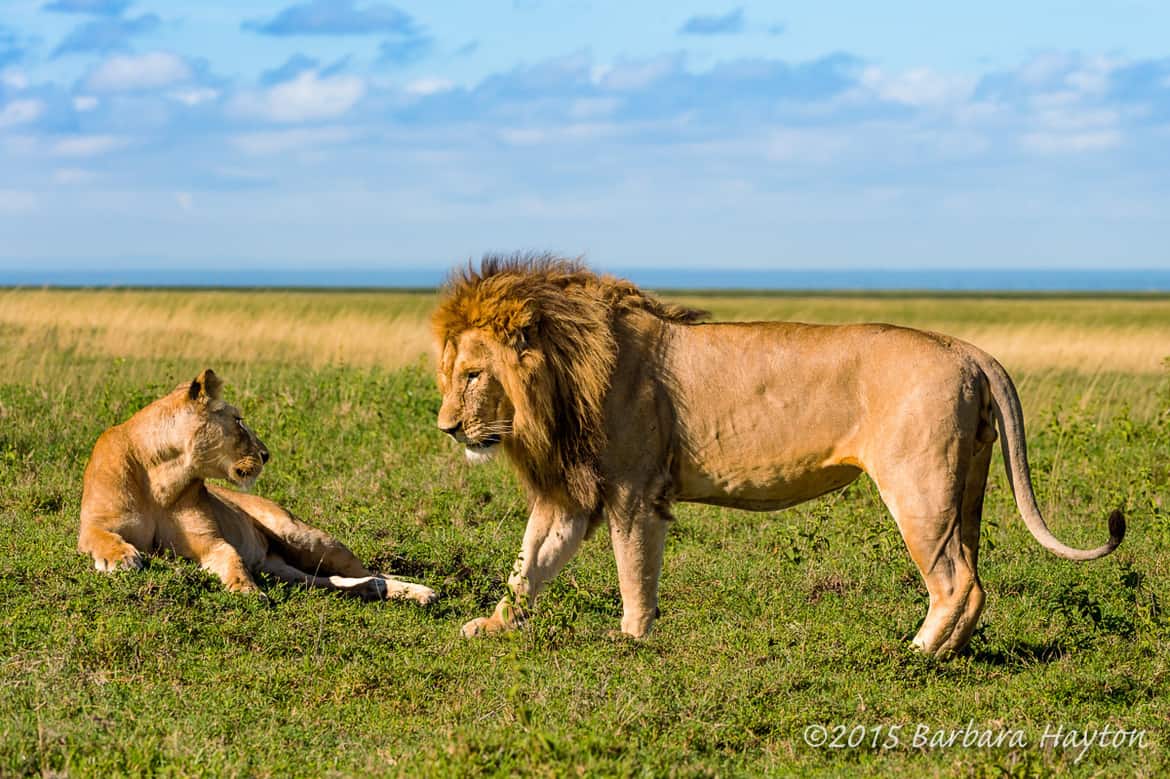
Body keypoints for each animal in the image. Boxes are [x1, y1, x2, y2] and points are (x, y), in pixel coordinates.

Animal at [78, 369, 436, 604]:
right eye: (238, 420)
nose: (266, 454)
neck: (164, 479)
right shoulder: (93, 525)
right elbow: (101, 537)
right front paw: (122, 558)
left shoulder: (208, 542)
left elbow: (230, 556)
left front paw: (246, 589)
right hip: (286, 571)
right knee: (337, 581)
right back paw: (377, 589)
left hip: (303, 535)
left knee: (370, 570)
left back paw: (420, 592)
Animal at [431, 254, 1125, 657]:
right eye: (450, 374)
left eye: (471, 375)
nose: (447, 429)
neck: (563, 375)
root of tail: (966, 347)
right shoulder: (571, 494)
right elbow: (529, 564)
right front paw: (491, 626)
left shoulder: (634, 491)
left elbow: (633, 570)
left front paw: (631, 639)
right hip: (968, 484)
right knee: (974, 574)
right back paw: (950, 653)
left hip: (919, 487)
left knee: (958, 580)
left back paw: (916, 654)